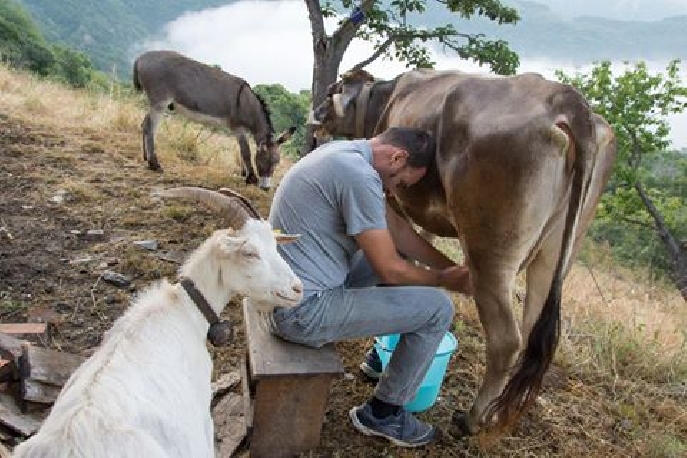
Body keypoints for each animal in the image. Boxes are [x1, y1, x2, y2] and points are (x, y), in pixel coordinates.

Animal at [12, 187, 304, 458]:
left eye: (274, 245)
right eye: (250, 253)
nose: (297, 288)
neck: (184, 309)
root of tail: (67, 445)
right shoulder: (202, 426)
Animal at [312, 68, 620, 436]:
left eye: (333, 90)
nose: (315, 115)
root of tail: (568, 101)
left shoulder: (392, 197)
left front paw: (375, 359)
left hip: (491, 251)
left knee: (506, 339)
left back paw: (473, 418)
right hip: (557, 251)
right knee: (533, 331)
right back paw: (504, 412)